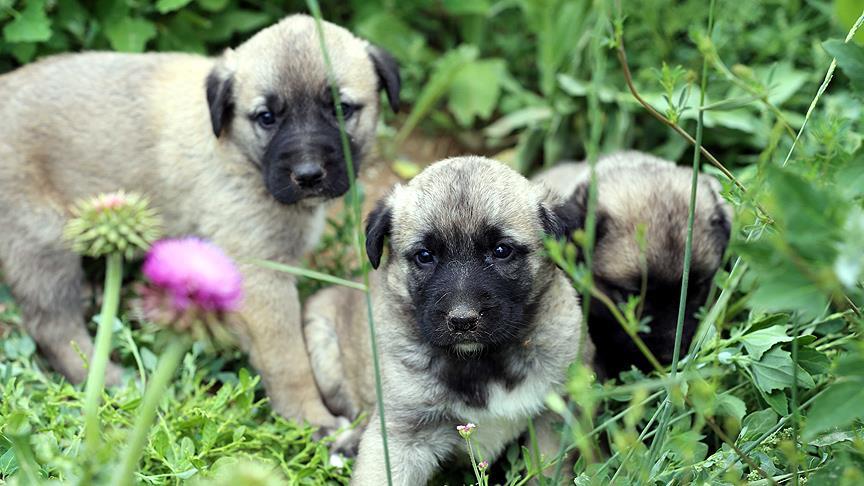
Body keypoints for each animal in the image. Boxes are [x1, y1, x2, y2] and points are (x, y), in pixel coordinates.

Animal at [0, 13, 400, 430]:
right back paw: (108, 380)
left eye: (341, 108)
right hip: (41, 241)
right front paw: (310, 419)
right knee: (53, 325)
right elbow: (288, 359)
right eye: (267, 117)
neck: (239, 153)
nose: (308, 175)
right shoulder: (261, 278)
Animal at [300, 158, 592, 484]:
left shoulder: (551, 420)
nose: (462, 321)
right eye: (425, 255)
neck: (481, 361)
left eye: (501, 251)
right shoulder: (402, 435)